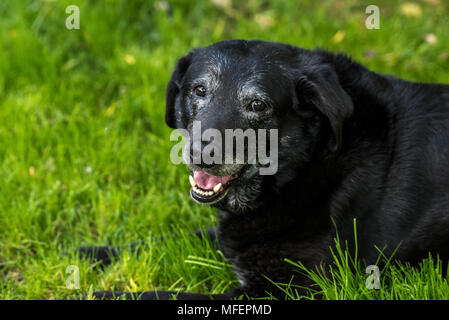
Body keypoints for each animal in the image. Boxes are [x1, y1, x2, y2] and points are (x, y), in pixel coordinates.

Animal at [79, 40, 448, 300]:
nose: (198, 154)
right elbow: (164, 239)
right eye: (199, 90)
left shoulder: (287, 289)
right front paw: (86, 252)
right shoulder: (236, 234)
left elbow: (164, 295)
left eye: (257, 105)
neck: (299, 171)